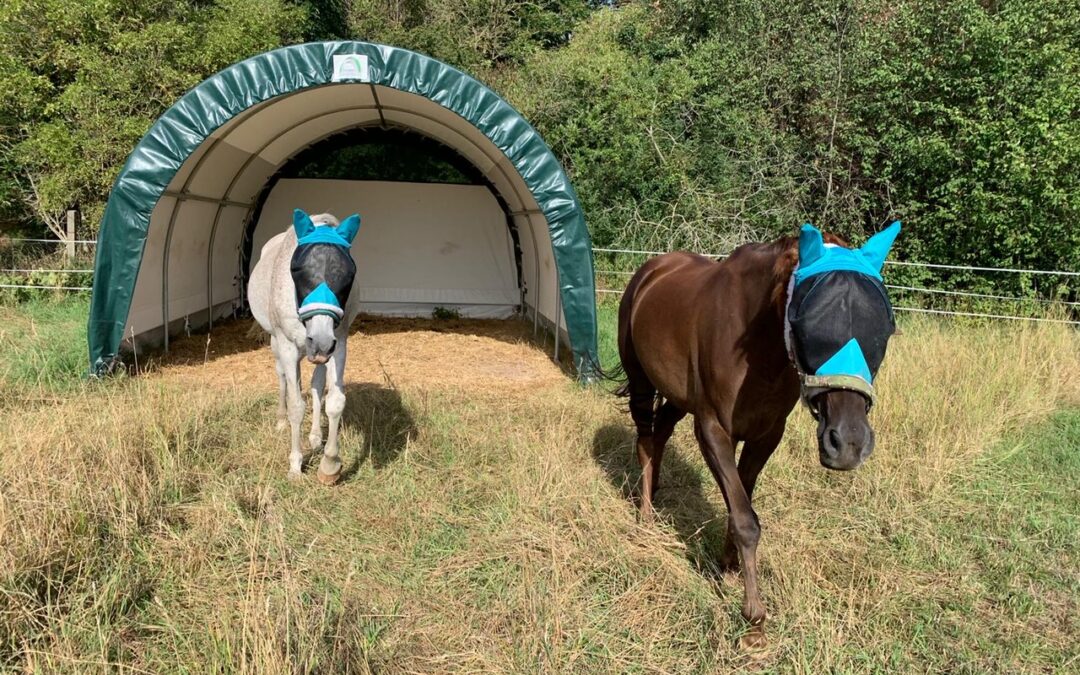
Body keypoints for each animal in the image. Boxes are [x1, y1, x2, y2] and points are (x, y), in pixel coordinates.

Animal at [246, 208, 360, 481]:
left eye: (348, 274)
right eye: (297, 270)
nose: (319, 342)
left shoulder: (338, 344)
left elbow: (334, 400)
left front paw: (330, 464)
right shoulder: (288, 346)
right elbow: (296, 405)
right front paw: (295, 466)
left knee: (316, 385)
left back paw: (316, 437)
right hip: (278, 344)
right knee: (282, 379)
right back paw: (280, 421)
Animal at [617, 221, 902, 648]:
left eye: (883, 328)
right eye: (807, 325)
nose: (848, 443)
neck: (758, 350)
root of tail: (651, 269)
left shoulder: (765, 435)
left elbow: (741, 504)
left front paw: (727, 568)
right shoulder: (714, 430)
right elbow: (745, 519)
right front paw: (754, 617)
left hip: (678, 397)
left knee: (662, 431)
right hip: (640, 381)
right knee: (646, 440)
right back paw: (646, 517)